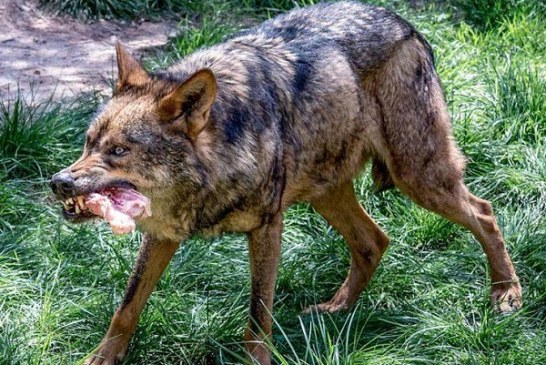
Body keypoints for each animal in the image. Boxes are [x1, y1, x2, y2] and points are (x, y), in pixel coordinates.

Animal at [50, 1, 520, 362]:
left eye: (119, 151)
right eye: (89, 143)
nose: (58, 182)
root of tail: (406, 24)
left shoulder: (267, 227)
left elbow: (258, 313)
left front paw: (258, 360)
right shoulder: (163, 234)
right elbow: (127, 306)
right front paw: (102, 358)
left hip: (419, 177)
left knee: (484, 213)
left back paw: (506, 295)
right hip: (327, 192)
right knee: (375, 240)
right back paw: (336, 309)